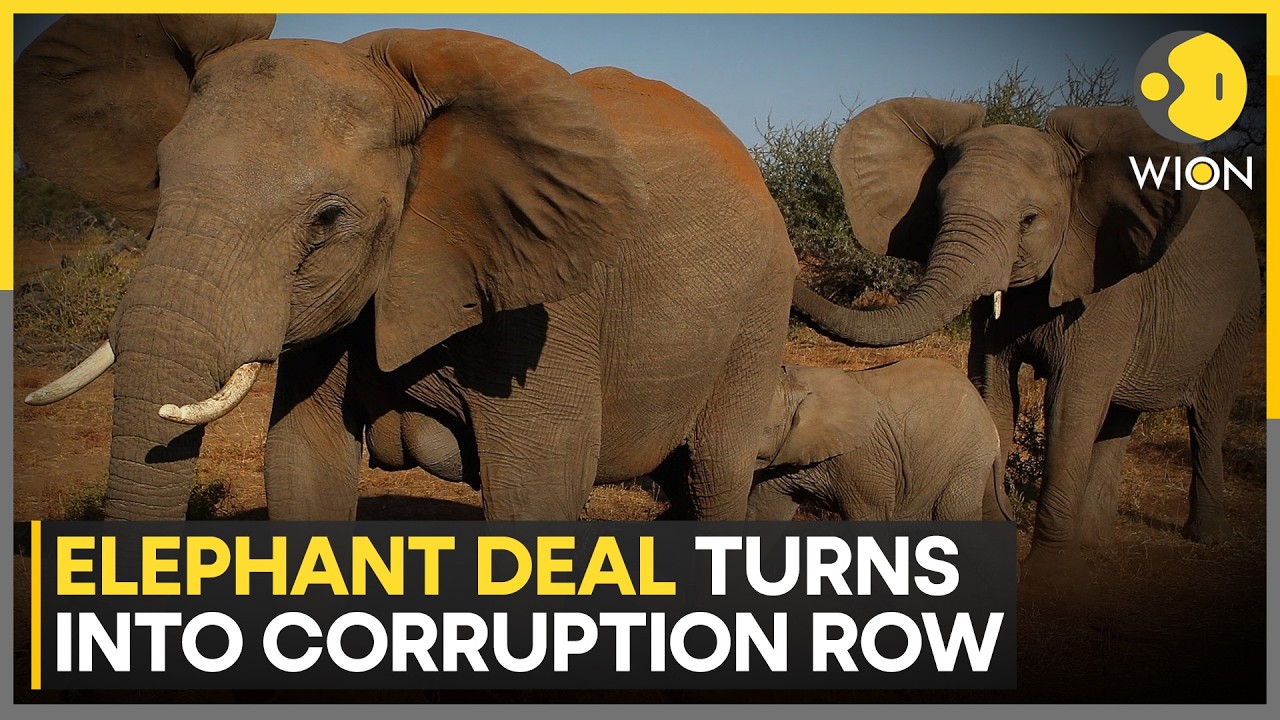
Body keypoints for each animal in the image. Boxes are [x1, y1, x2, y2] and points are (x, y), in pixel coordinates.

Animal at [17, 15, 798, 521]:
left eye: (329, 218)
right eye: (159, 179)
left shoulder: (543, 311)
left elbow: (540, 485)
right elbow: (301, 465)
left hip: (759, 311)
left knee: (714, 474)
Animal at [790, 98, 1261, 582]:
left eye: (1029, 220)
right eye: (936, 209)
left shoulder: (1108, 286)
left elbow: (1070, 404)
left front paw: (1052, 575)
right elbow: (994, 391)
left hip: (1242, 303)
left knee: (1209, 411)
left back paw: (1207, 537)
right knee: (1121, 414)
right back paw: (1095, 539)